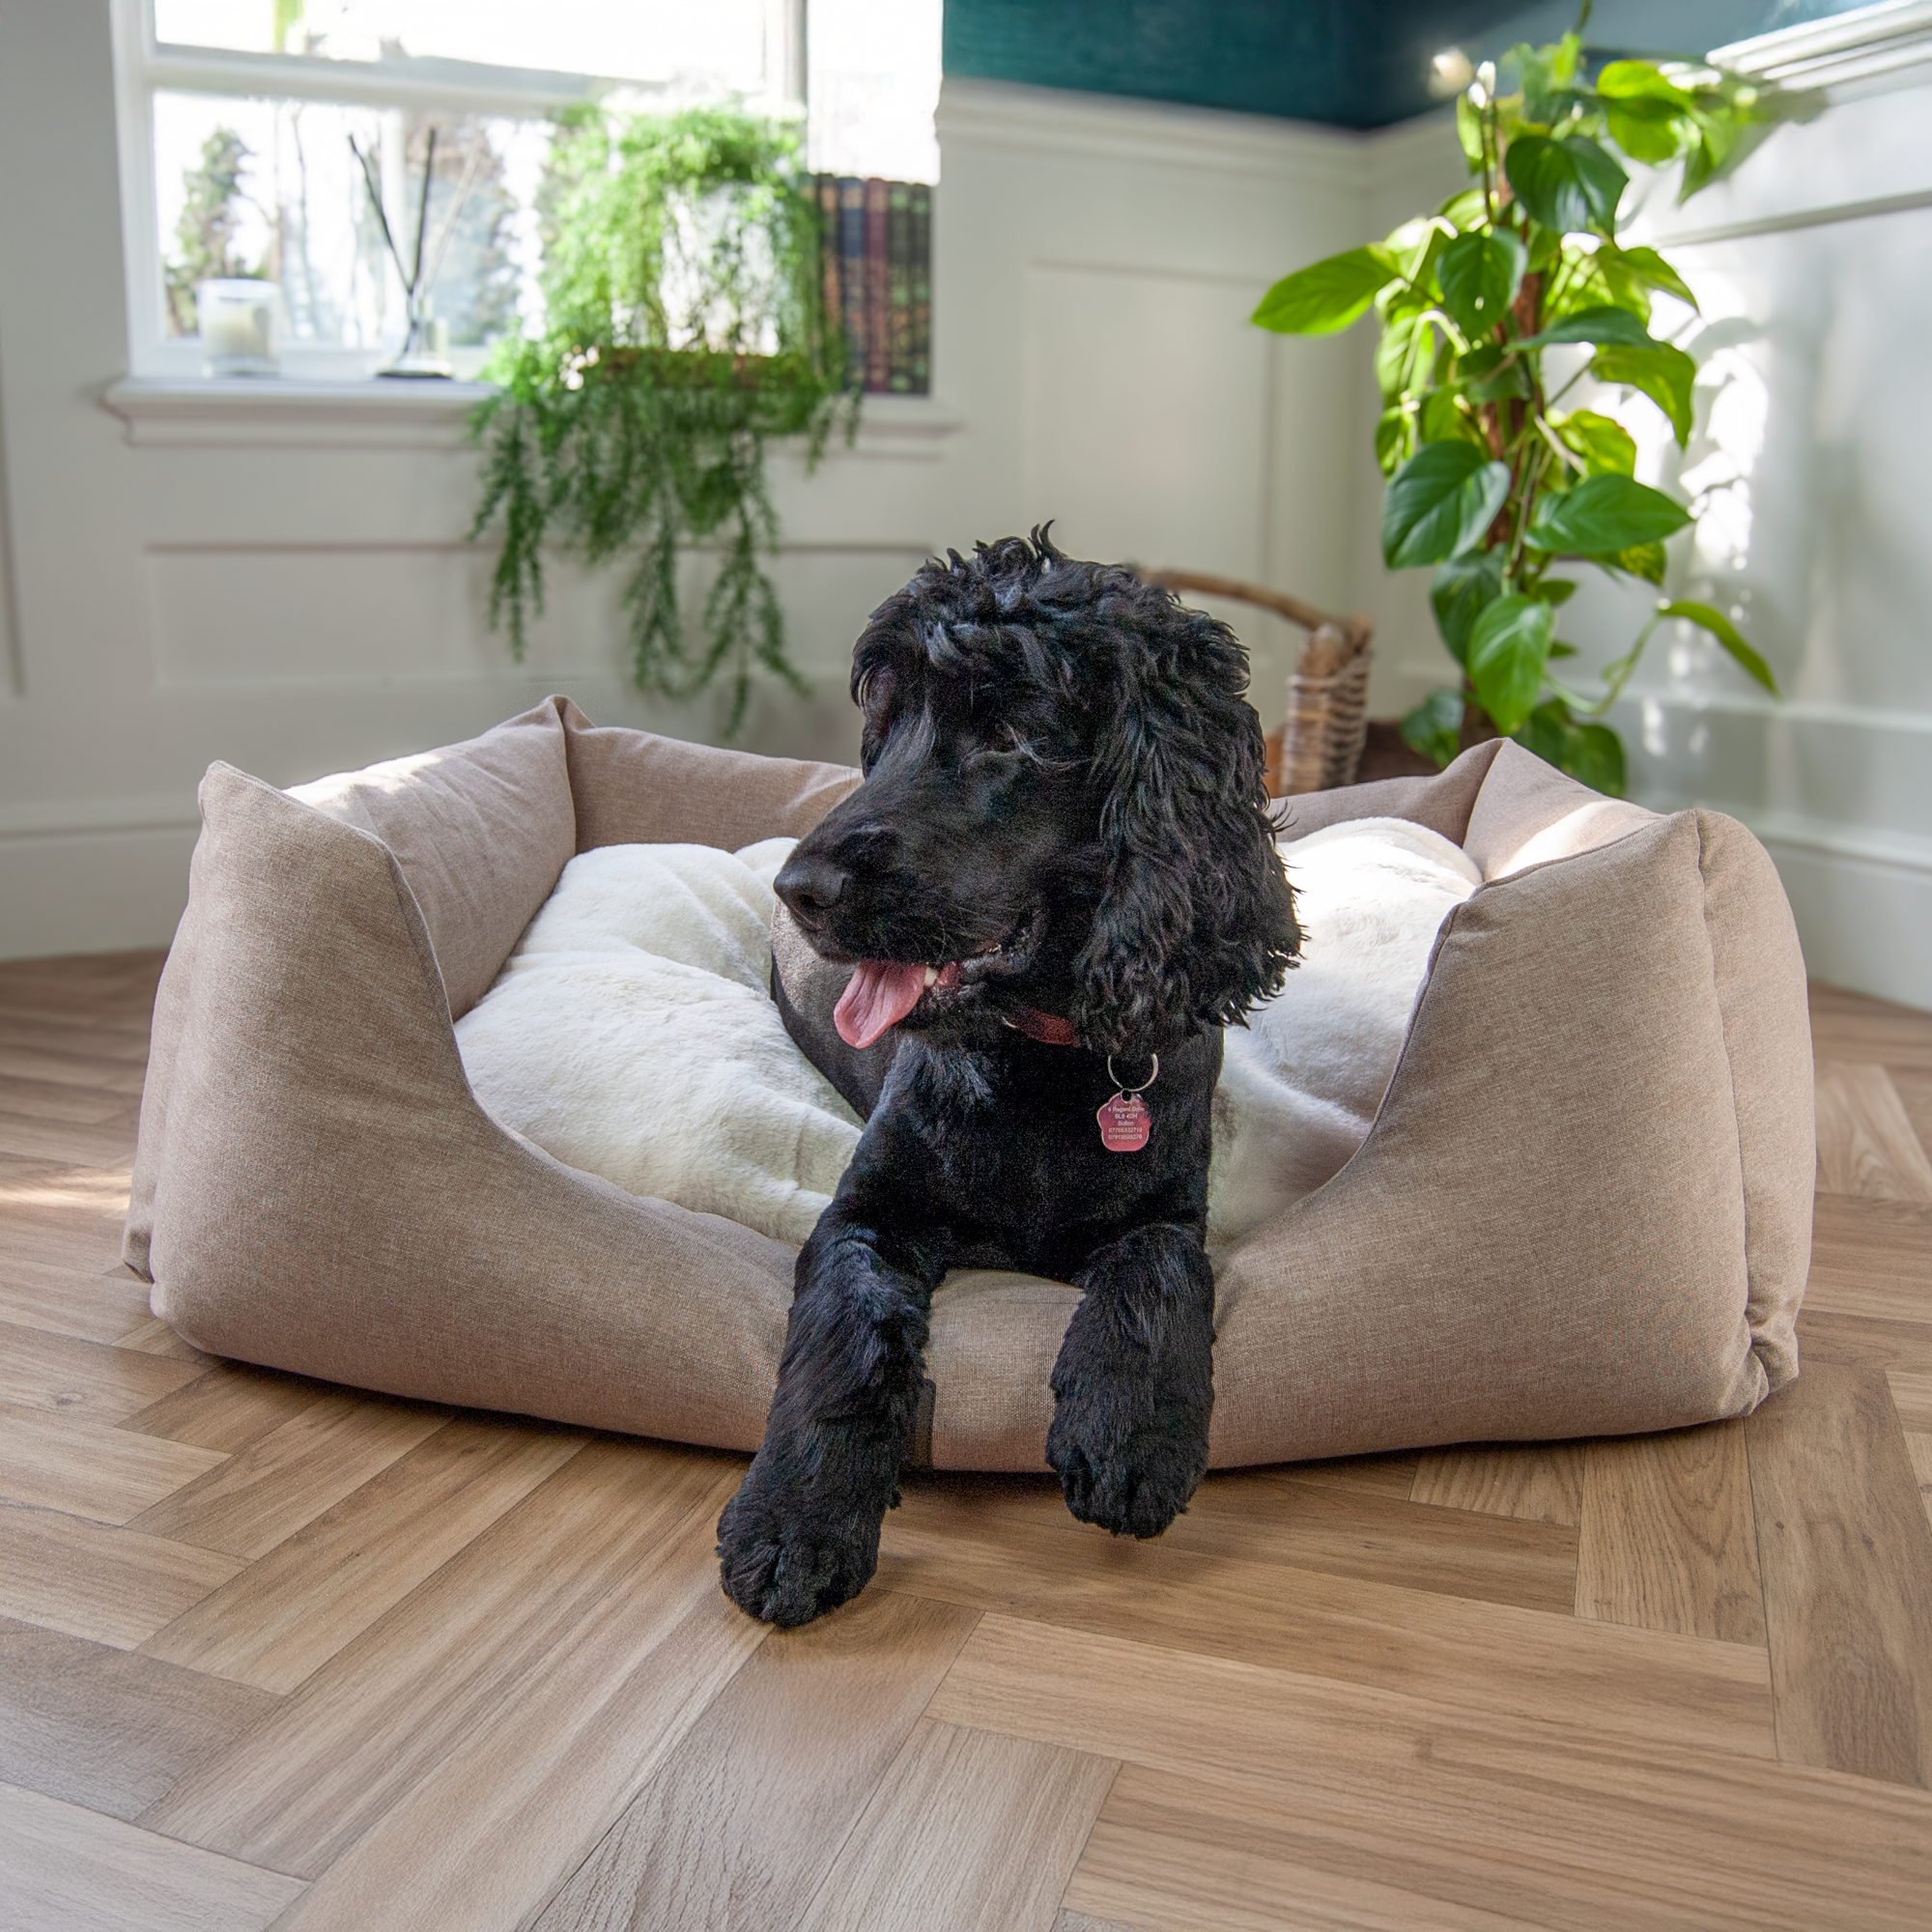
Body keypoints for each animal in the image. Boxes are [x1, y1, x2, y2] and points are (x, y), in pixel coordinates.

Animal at [715, 533, 1298, 1631]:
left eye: (1011, 733)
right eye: (885, 727)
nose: (802, 890)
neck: (1043, 1059)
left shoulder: (1168, 1207)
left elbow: (1158, 1271)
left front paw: (1130, 1436)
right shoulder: (868, 1210)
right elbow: (846, 1333)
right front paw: (795, 1520)